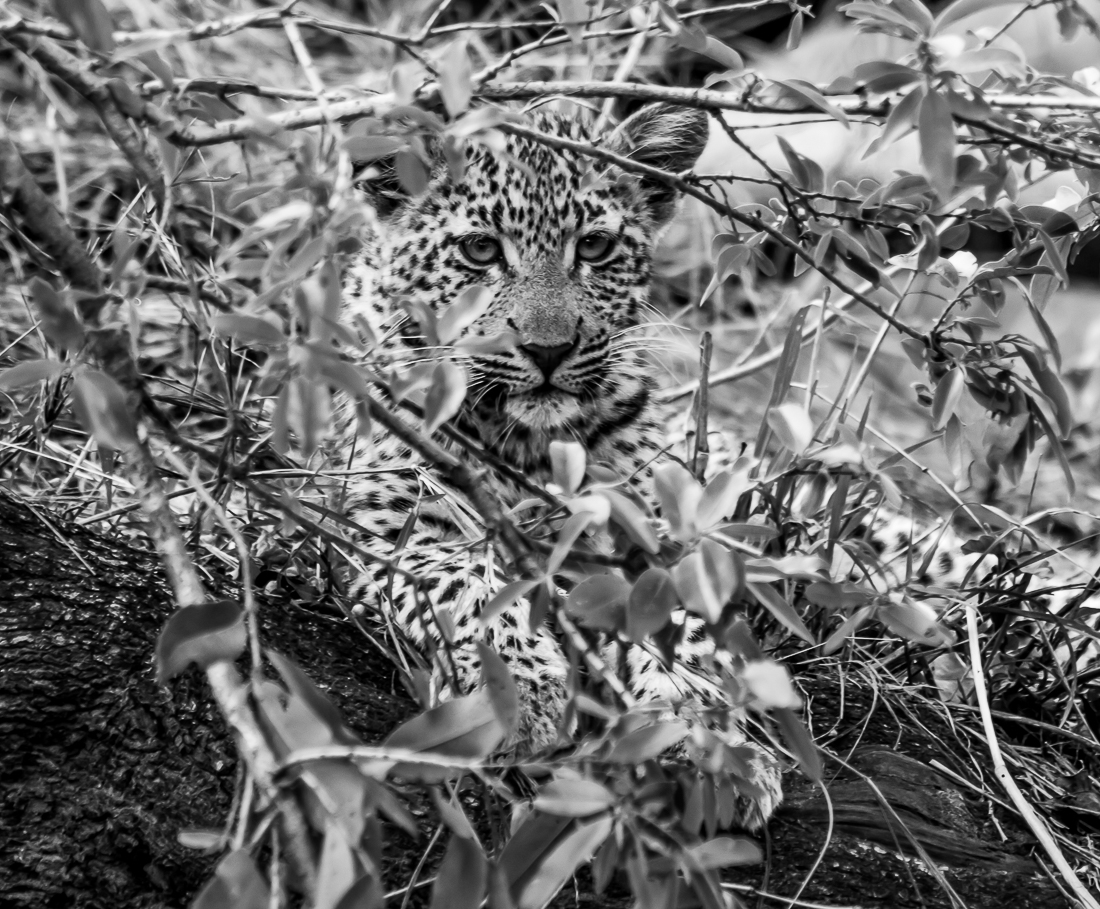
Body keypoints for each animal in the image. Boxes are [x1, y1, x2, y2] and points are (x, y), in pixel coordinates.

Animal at [340, 102, 784, 831]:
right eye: (480, 250)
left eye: (595, 248)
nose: (548, 349)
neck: (530, 443)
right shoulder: (374, 531)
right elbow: (472, 581)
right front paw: (515, 692)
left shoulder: (650, 537)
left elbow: (683, 620)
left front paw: (704, 736)